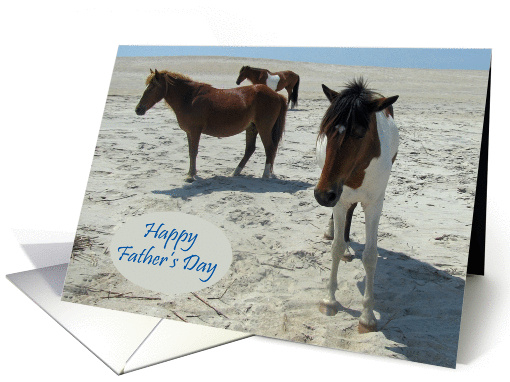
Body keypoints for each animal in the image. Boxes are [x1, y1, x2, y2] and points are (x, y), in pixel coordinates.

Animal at [134, 69, 286, 182]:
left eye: (152, 87)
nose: (138, 109)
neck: (189, 98)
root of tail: (277, 95)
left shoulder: (195, 131)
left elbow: (193, 152)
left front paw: (191, 176)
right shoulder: (189, 132)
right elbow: (190, 152)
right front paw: (191, 173)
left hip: (263, 127)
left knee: (270, 148)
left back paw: (265, 175)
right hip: (252, 128)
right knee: (250, 149)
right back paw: (236, 172)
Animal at [312, 79, 400, 332]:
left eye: (360, 134)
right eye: (327, 131)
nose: (323, 195)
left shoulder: (374, 205)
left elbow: (370, 256)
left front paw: (367, 316)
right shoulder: (339, 200)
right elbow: (335, 247)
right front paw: (329, 300)